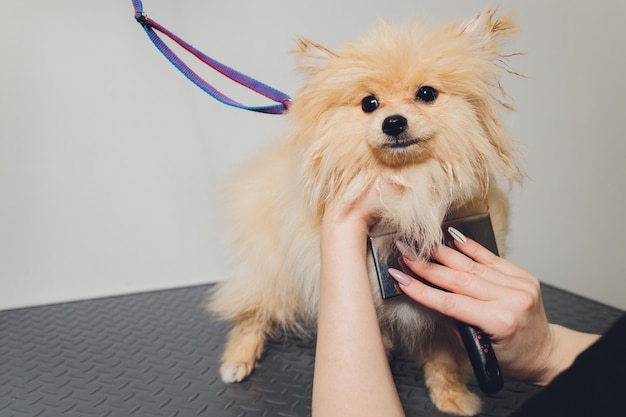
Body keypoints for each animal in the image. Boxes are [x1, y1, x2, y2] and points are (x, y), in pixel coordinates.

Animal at [208, 8, 520, 412]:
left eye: (426, 94)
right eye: (369, 104)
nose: (394, 122)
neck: (409, 184)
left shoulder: (442, 306)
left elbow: (444, 359)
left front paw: (451, 396)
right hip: (276, 271)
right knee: (252, 313)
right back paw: (237, 360)